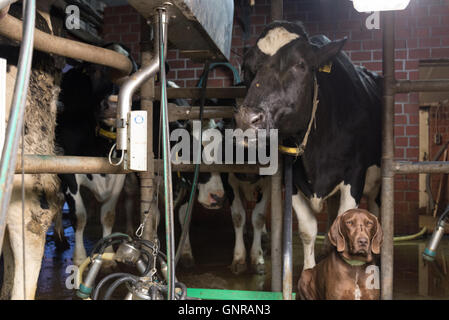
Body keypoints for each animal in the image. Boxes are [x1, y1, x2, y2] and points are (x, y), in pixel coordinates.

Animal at [234, 20, 382, 270]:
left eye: (300, 64)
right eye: (246, 68)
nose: (247, 119)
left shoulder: (355, 175)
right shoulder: (292, 179)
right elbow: (307, 230)